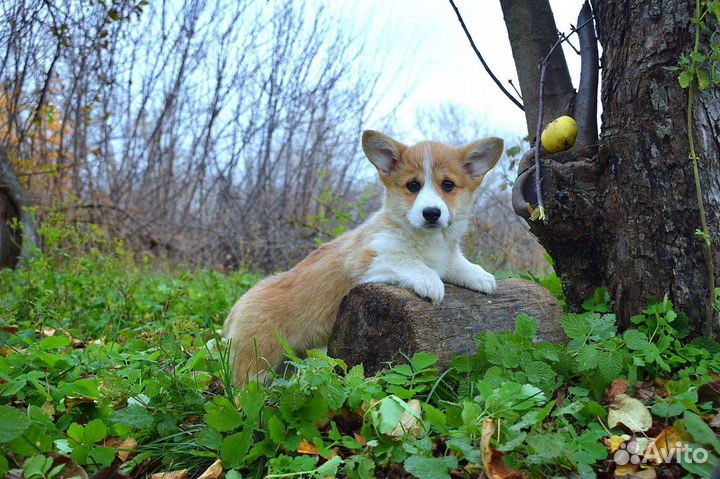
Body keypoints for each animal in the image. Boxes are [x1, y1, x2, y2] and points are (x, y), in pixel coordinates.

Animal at [222, 129, 504, 384]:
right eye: (413, 185)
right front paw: (430, 281)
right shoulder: (369, 259)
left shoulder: (445, 256)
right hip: (256, 362)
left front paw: (480, 276)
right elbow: (407, 260)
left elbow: (455, 262)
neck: (426, 239)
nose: (432, 213)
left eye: (448, 185)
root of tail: (236, 307)